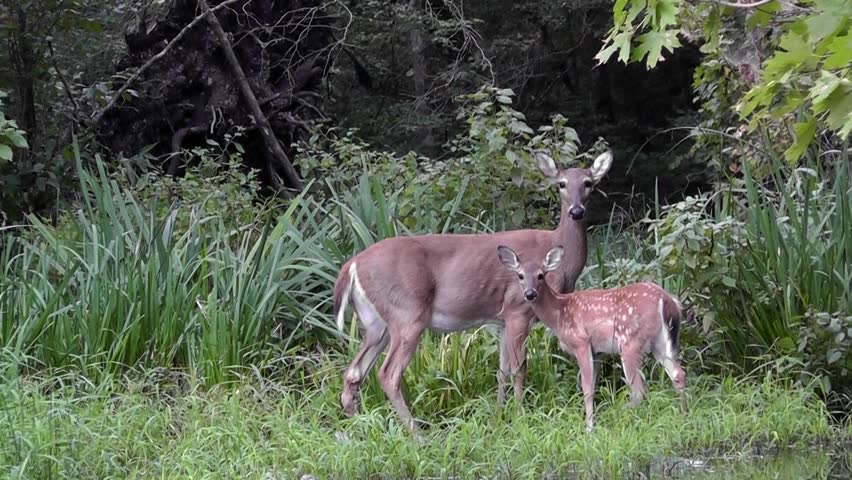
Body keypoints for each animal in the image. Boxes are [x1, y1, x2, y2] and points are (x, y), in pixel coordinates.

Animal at [332, 150, 614, 431]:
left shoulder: (502, 319)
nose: (576, 211)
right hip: (407, 313)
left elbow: (501, 370)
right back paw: (417, 434)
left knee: (354, 373)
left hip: (375, 322)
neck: (560, 262)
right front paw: (520, 416)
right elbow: (519, 368)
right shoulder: (518, 309)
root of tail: (352, 265)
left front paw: (499, 416)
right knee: (388, 374)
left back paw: (359, 427)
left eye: (588, 183)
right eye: (561, 184)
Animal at [496, 245, 688, 432]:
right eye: (520, 275)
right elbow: (593, 386)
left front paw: (589, 428)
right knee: (678, 373)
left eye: (541, 275)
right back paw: (683, 414)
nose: (530, 294)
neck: (558, 314)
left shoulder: (581, 342)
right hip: (661, 341)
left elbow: (586, 388)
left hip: (630, 340)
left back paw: (620, 416)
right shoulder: (598, 352)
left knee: (639, 389)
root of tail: (667, 300)